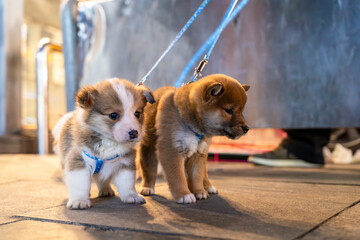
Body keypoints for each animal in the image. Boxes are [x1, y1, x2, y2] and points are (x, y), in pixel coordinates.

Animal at [52, 78, 154, 208]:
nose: (134, 133)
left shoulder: (126, 163)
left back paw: (106, 190)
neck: (108, 142)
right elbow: (80, 183)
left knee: (102, 180)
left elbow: (127, 183)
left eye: (137, 113)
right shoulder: (78, 161)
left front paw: (131, 197)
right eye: (113, 115)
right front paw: (79, 200)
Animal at [139, 74, 250, 203]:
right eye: (229, 110)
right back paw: (147, 187)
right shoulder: (171, 150)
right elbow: (178, 176)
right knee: (149, 170)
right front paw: (184, 194)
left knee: (204, 171)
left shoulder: (198, 152)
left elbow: (196, 175)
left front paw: (199, 191)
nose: (246, 128)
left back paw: (208, 186)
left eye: (241, 111)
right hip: (148, 147)